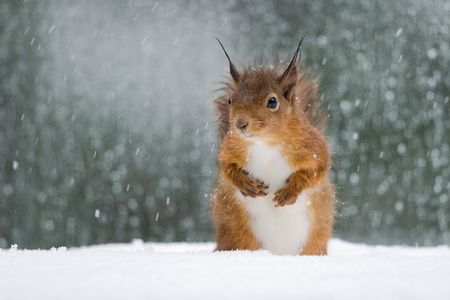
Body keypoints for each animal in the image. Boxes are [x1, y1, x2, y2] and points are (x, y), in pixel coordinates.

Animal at [213, 34, 336, 255]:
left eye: (272, 102)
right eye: (230, 100)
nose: (240, 124)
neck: (265, 143)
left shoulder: (314, 147)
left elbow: (317, 170)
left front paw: (290, 191)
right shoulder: (229, 148)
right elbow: (226, 166)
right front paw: (246, 184)